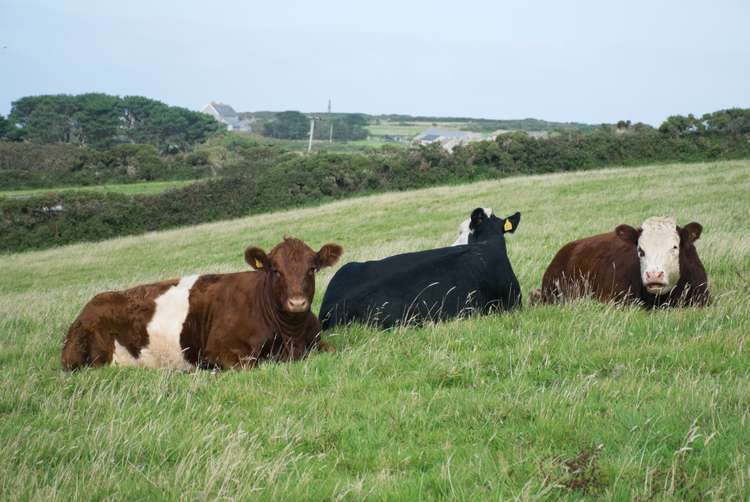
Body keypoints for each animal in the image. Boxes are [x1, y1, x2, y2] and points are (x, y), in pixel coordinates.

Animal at [61, 237, 344, 370]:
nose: (297, 303)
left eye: (312, 269)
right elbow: (251, 364)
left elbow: (333, 350)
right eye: (275, 270)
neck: (290, 335)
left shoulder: (317, 341)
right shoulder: (219, 349)